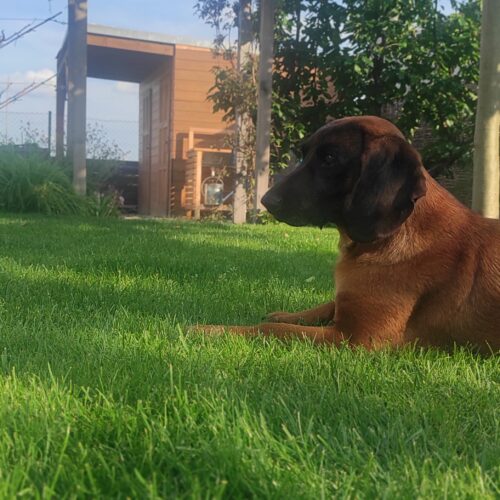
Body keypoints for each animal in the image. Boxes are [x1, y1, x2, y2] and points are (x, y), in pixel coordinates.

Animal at [197, 116, 500, 353]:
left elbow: (271, 328)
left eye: (330, 158)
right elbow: (325, 305)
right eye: (304, 154)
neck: (391, 236)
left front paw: (212, 330)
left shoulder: (355, 337)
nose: (266, 201)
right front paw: (289, 313)